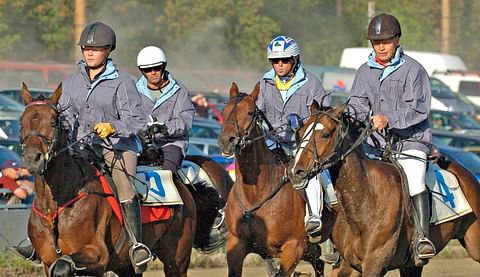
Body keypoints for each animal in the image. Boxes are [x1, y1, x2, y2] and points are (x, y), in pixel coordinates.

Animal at [19, 83, 197, 274]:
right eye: (21, 122)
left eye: (53, 122)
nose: (33, 158)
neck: (56, 204)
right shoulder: (47, 260)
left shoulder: (97, 255)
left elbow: (63, 265)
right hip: (125, 266)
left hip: (177, 260)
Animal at [218, 83, 334, 276]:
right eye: (224, 110)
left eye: (250, 112)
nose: (227, 140)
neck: (256, 192)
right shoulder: (236, 246)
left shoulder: (293, 249)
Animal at [286, 101, 480, 276]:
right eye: (300, 133)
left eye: (325, 134)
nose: (296, 172)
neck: (365, 201)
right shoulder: (350, 266)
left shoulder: (374, 265)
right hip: (411, 265)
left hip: (474, 244)